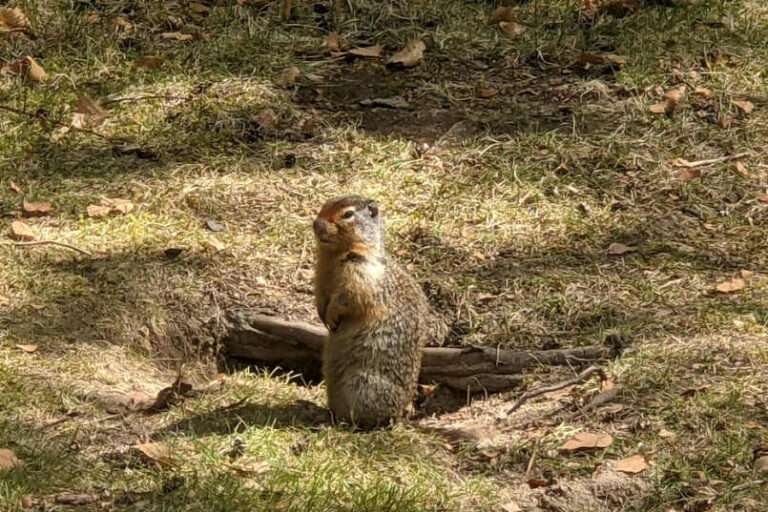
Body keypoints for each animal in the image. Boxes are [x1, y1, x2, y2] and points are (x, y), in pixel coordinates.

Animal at [312, 195, 448, 428]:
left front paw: (332, 315)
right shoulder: (321, 275)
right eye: (325, 204)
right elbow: (320, 295)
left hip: (363, 383)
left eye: (348, 214)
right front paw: (323, 316)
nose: (316, 224)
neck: (334, 255)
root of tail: (402, 412)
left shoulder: (362, 273)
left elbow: (348, 297)